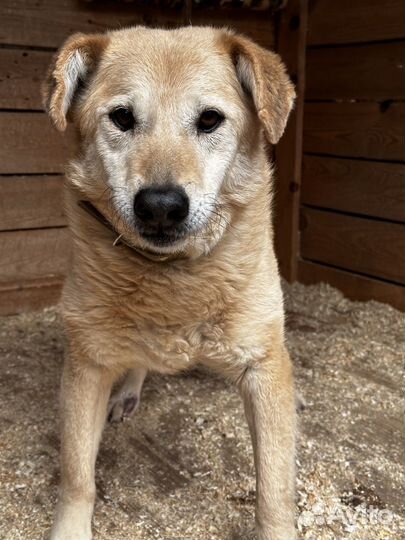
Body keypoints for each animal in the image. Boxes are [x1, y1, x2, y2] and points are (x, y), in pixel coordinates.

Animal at [42, 26, 296, 540]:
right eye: (122, 117)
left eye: (210, 119)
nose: (161, 206)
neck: (174, 278)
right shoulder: (87, 364)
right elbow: (77, 475)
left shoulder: (264, 366)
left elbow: (273, 490)